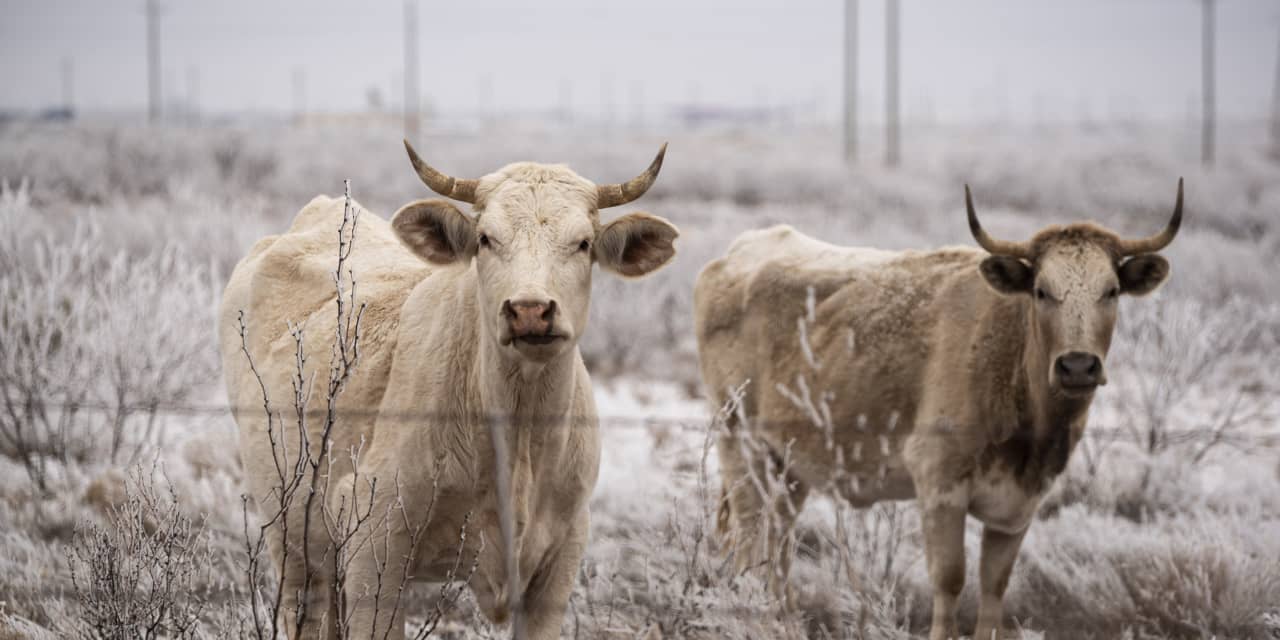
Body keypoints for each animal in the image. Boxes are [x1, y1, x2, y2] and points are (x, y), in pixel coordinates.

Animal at [220, 144, 680, 640]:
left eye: (583, 243)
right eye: (486, 239)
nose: (529, 310)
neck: (518, 434)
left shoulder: (560, 558)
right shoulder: (374, 547)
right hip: (294, 540)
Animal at [696, 183, 1182, 637]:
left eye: (1111, 291)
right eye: (1042, 291)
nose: (1078, 365)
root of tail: (733, 257)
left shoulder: (1018, 507)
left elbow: (994, 586)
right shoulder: (939, 484)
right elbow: (950, 580)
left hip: (790, 465)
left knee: (778, 544)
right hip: (741, 447)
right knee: (750, 537)